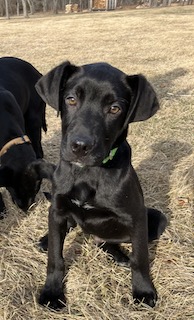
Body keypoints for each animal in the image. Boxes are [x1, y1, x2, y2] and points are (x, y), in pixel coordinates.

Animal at [36, 60, 167, 310]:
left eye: (114, 109)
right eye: (71, 99)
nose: (80, 146)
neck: (88, 172)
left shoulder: (136, 216)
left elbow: (140, 259)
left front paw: (143, 291)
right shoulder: (57, 208)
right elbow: (56, 258)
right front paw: (52, 292)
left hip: (156, 219)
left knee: (106, 242)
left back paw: (120, 255)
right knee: (69, 227)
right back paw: (47, 240)